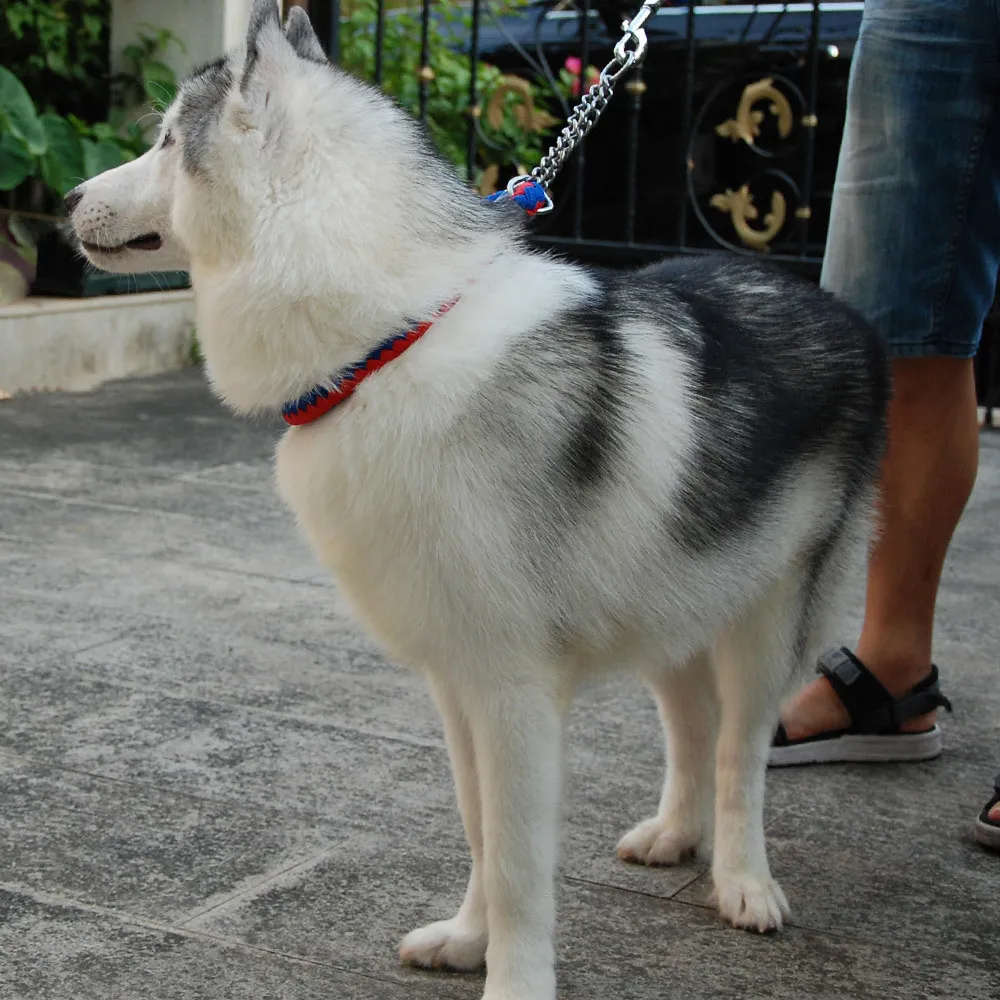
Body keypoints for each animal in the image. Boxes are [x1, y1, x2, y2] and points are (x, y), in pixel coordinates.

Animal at [66, 3, 888, 996]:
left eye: (161, 142)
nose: (66, 198)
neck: (389, 342)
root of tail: (837, 307)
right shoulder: (455, 682)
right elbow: (479, 832)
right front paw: (468, 940)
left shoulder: (511, 692)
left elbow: (520, 861)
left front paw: (515, 978)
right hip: (674, 594)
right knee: (692, 722)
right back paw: (674, 836)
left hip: (765, 622)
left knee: (741, 749)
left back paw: (743, 881)